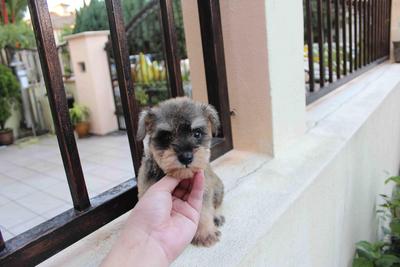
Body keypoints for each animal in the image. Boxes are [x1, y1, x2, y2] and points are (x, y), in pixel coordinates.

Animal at [137, 97, 225, 248]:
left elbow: (204, 211)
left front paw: (205, 233)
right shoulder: (145, 191)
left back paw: (217, 216)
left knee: (217, 204)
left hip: (218, 188)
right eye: (167, 137)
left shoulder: (205, 191)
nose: (186, 157)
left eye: (197, 133)